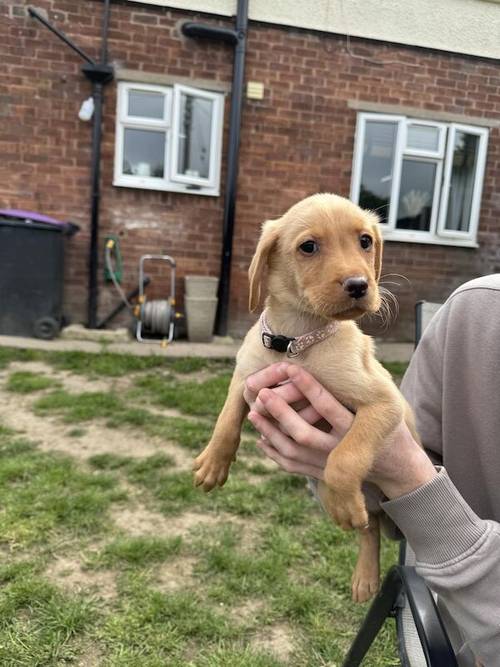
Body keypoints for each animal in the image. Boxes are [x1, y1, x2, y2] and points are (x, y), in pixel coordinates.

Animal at [193, 194, 420, 604]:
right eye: (309, 247)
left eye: (365, 241)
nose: (359, 284)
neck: (296, 342)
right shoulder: (245, 377)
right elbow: (226, 419)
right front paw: (214, 463)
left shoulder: (385, 401)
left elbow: (345, 457)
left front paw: (346, 488)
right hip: (326, 495)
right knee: (369, 529)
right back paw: (365, 575)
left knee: (369, 519)